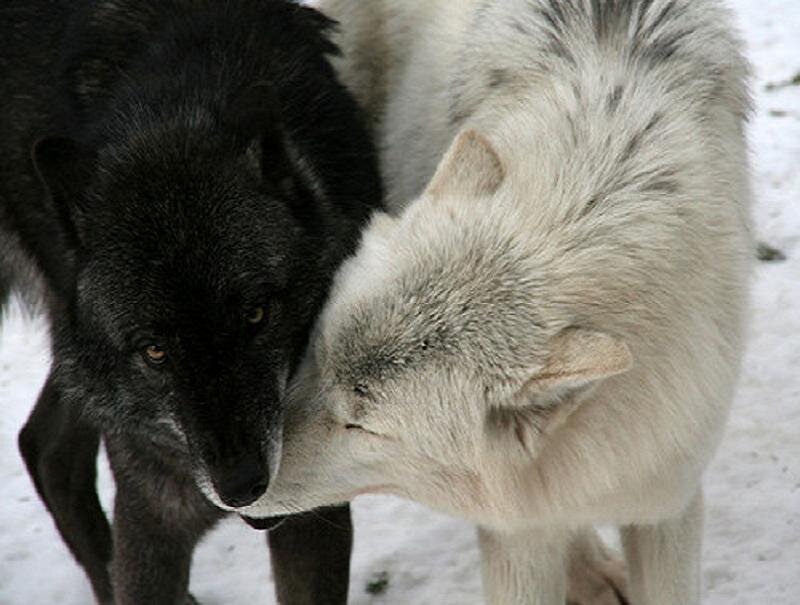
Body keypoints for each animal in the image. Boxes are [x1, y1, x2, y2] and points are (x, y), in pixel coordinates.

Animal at [0, 0, 382, 603]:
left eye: (256, 315)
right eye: (155, 351)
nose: (243, 485)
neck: (173, 110)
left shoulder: (311, 514)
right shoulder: (149, 517)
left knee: (45, 449)